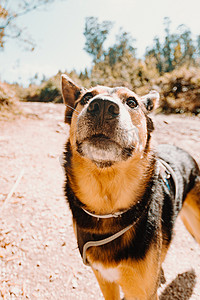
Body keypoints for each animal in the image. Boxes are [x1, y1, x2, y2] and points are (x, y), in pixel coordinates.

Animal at [61, 73, 200, 300]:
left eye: (132, 102)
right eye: (87, 97)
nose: (102, 106)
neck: (107, 209)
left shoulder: (143, 291)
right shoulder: (105, 280)